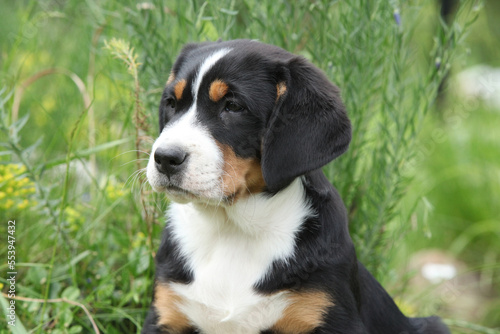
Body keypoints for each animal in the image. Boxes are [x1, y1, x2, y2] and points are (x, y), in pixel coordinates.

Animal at [142, 39, 450, 334]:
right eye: (172, 103)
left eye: (233, 106)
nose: (165, 158)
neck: (234, 231)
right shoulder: (166, 314)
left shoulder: (330, 316)